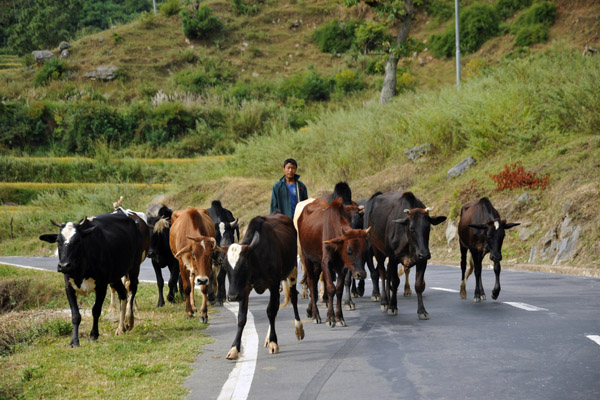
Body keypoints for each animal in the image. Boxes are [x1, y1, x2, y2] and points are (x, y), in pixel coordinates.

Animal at [39, 212, 146, 346]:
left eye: (78, 240)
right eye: (58, 241)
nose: (64, 265)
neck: (81, 271)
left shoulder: (101, 286)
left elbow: (96, 310)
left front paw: (94, 335)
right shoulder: (69, 287)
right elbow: (75, 315)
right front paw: (74, 341)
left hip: (134, 266)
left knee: (132, 289)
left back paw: (129, 321)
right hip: (115, 276)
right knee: (123, 294)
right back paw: (120, 328)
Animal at [296, 198, 368, 328]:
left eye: (365, 250)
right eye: (349, 250)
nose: (361, 274)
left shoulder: (342, 267)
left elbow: (338, 290)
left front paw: (339, 317)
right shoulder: (326, 263)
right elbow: (330, 288)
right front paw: (330, 317)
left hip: (317, 264)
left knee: (314, 284)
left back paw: (310, 310)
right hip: (307, 259)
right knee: (311, 283)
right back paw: (316, 315)